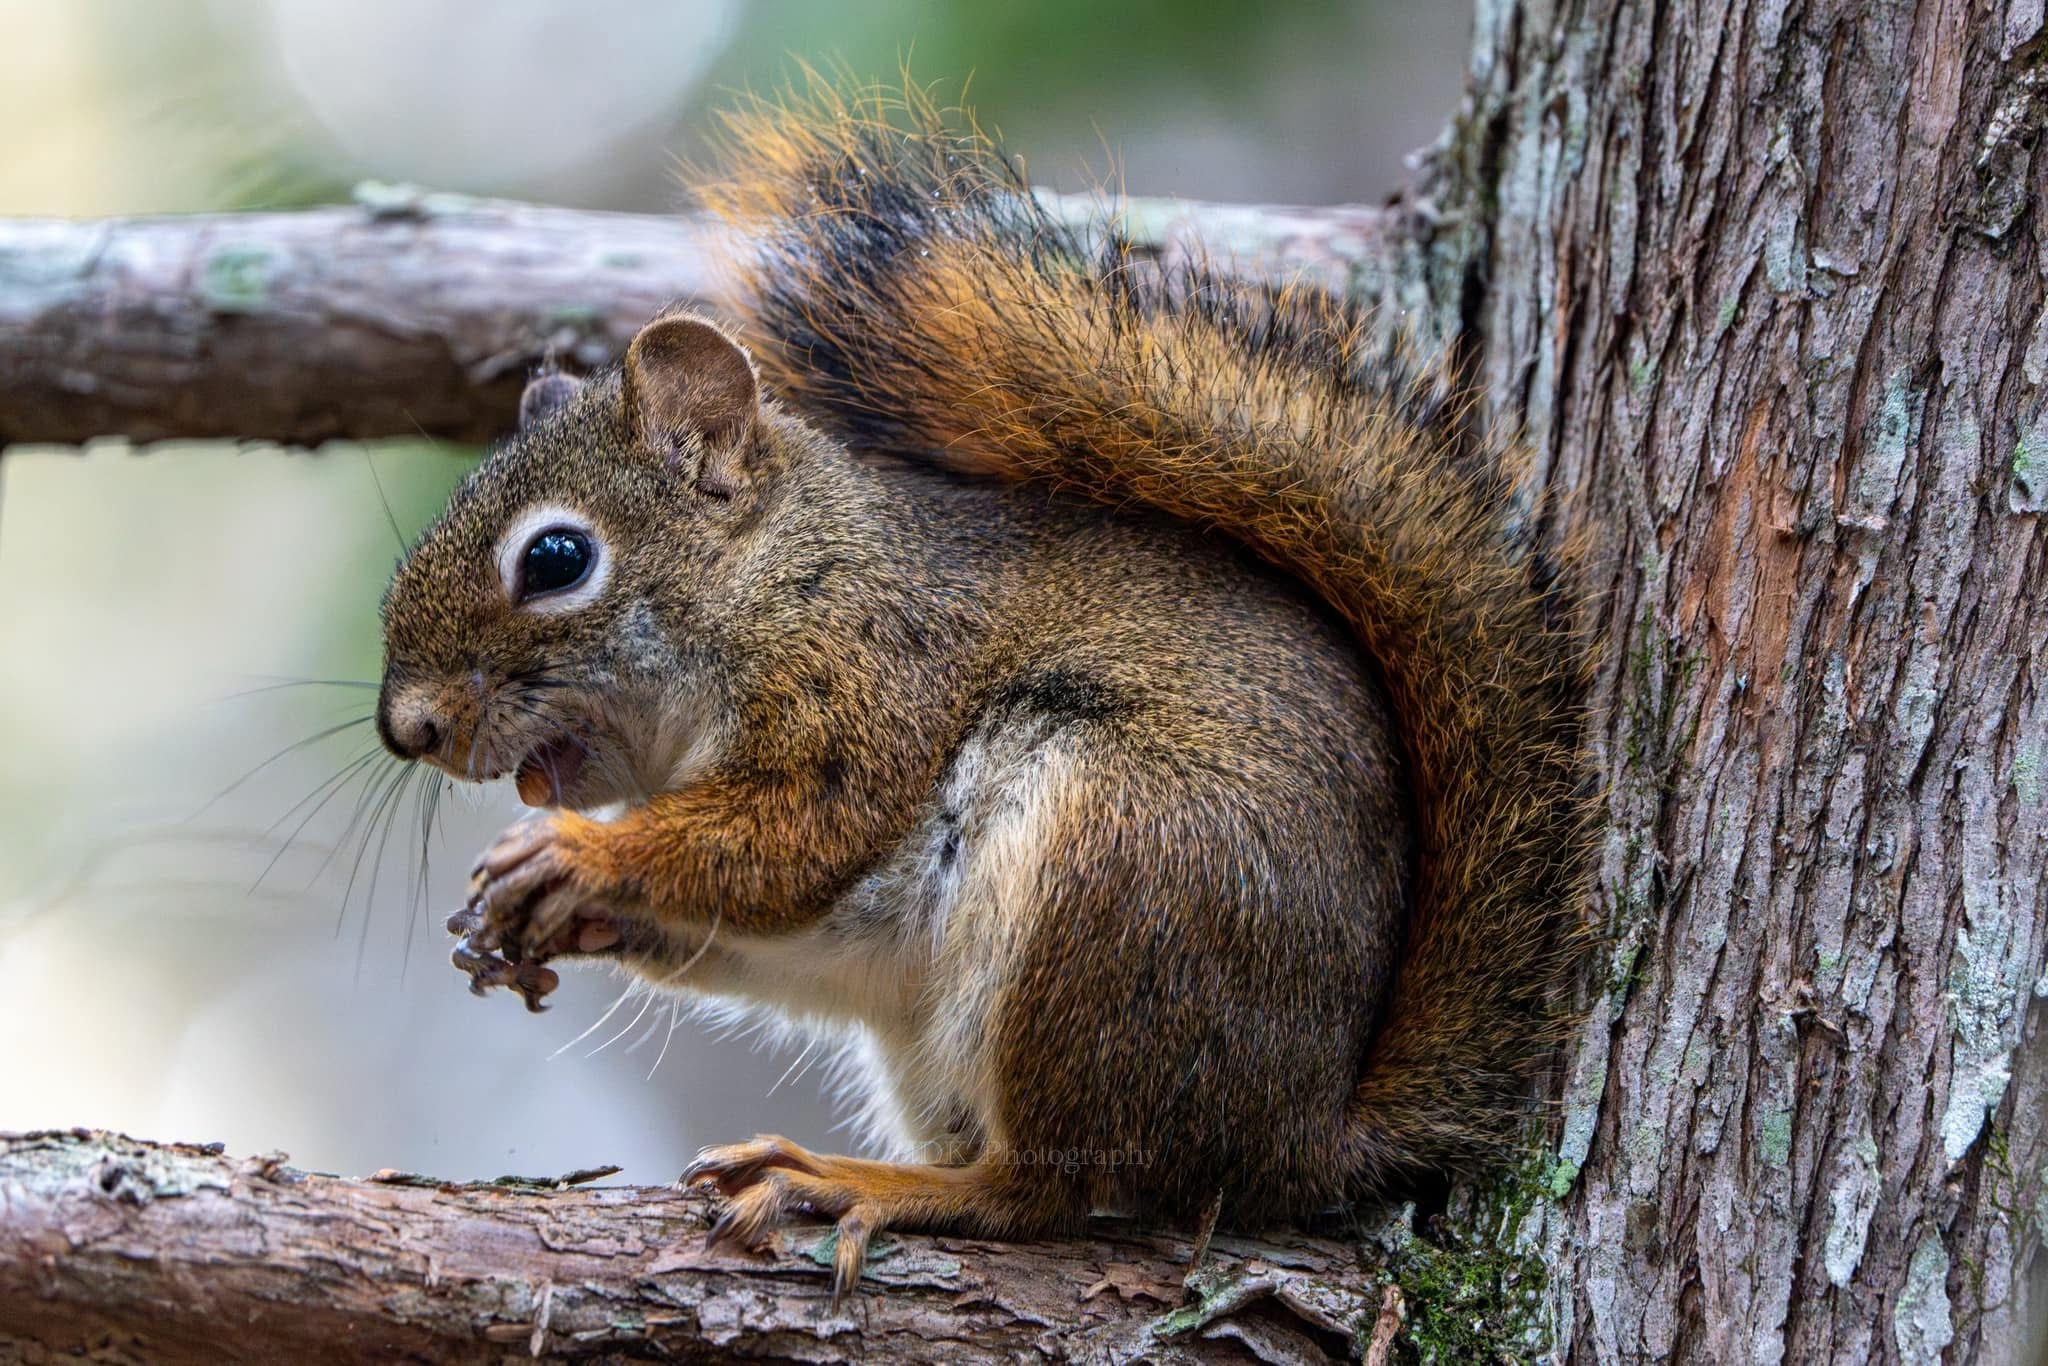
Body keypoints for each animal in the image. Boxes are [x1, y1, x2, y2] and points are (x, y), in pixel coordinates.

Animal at [385, 80, 1597, 1302]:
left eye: (556, 559)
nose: (408, 727)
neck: (778, 573)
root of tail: (1301, 1134)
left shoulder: (870, 672)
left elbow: (789, 837)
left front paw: (573, 856)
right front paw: (523, 924)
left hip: (1115, 879)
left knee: (1048, 1188)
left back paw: (861, 1185)